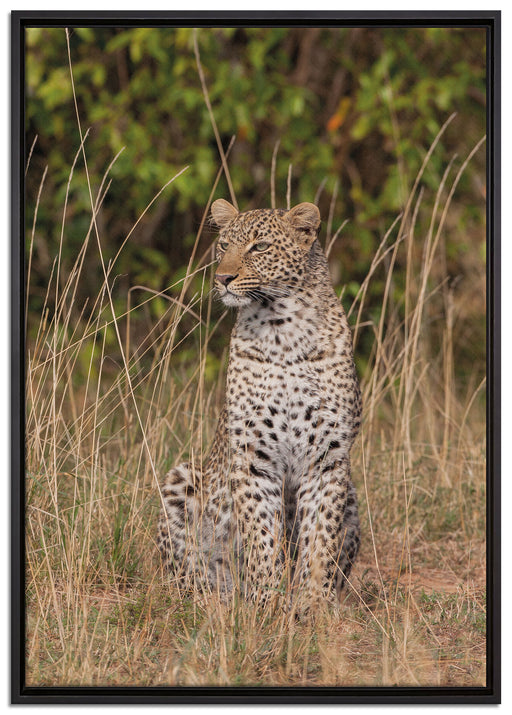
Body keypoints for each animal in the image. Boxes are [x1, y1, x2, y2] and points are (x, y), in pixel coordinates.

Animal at [157, 199, 362, 605]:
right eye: (223, 245)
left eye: (260, 247)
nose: (223, 278)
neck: (283, 332)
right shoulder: (253, 456)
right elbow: (261, 535)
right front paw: (267, 601)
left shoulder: (328, 457)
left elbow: (320, 540)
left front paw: (313, 604)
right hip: (182, 478)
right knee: (186, 572)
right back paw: (211, 598)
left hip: (353, 497)